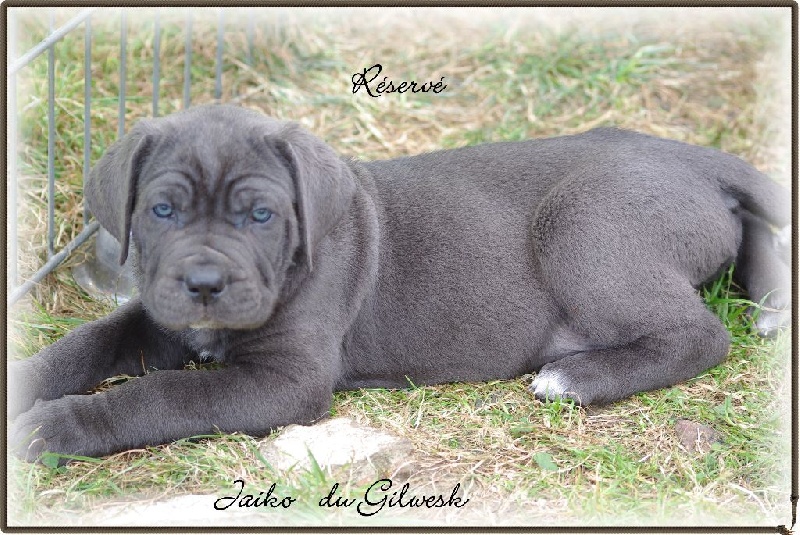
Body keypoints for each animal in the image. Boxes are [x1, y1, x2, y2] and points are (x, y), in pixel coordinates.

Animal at [9, 105, 790, 462]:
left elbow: (164, 395)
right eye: (162, 209)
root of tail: (684, 153)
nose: (203, 282)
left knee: (701, 335)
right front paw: (30, 386)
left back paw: (575, 378)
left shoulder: (283, 381)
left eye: (261, 214)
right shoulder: (157, 314)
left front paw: (55, 425)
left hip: (585, 225)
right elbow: (87, 345)